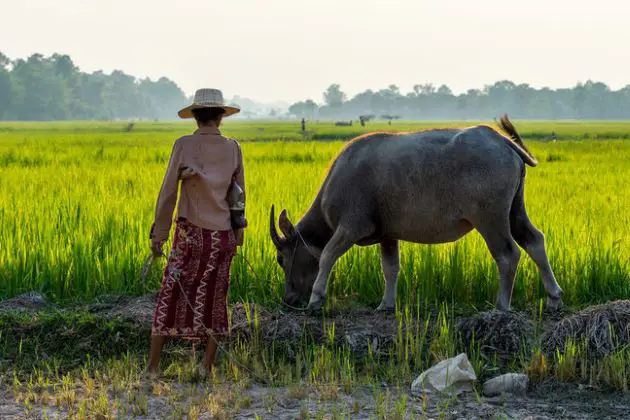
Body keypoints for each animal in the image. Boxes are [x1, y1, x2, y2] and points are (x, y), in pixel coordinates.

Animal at [270, 115, 564, 312]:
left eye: (281, 259)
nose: (289, 299)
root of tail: (501, 140)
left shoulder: (351, 227)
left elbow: (328, 255)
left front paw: (315, 298)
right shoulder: (388, 235)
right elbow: (390, 268)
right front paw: (386, 304)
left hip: (490, 219)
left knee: (507, 255)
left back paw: (502, 304)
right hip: (515, 211)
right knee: (535, 240)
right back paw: (553, 297)